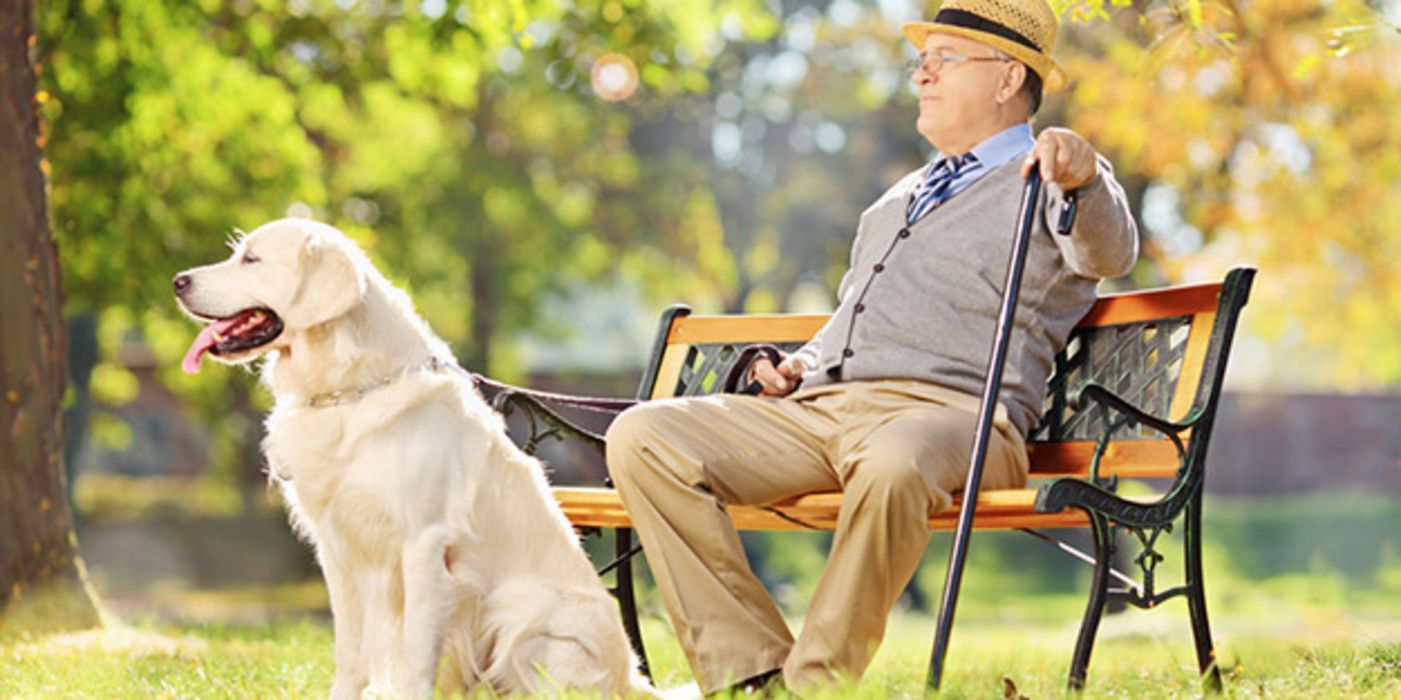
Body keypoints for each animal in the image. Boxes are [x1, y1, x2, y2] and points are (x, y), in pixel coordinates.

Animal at [173, 217, 650, 694]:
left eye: (251, 259)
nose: (178, 281)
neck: (349, 391)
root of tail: (631, 678)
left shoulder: (423, 542)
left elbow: (417, 651)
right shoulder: (336, 545)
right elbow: (350, 650)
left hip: (522, 610)